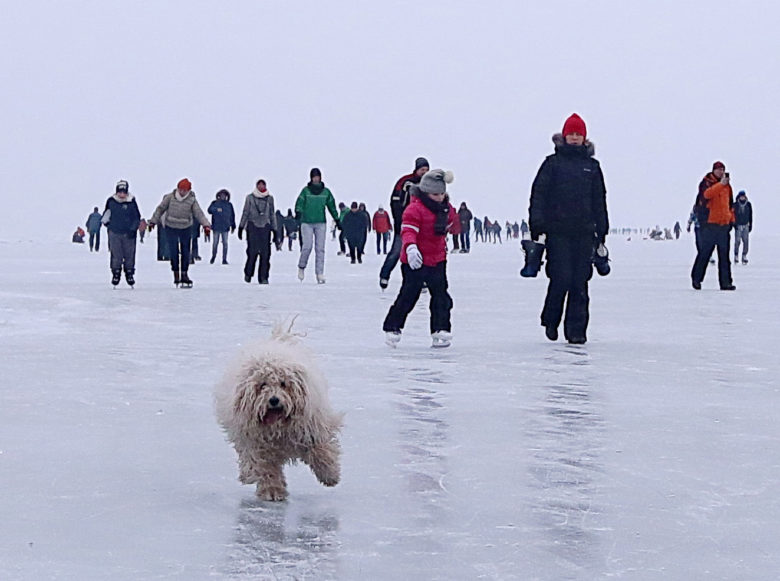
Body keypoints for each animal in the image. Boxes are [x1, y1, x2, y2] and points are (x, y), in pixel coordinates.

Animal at [216, 324, 344, 500]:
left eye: (283, 384)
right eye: (262, 385)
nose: (274, 400)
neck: (277, 425)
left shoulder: (311, 428)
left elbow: (321, 449)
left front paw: (330, 475)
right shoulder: (256, 445)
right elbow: (265, 468)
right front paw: (272, 490)